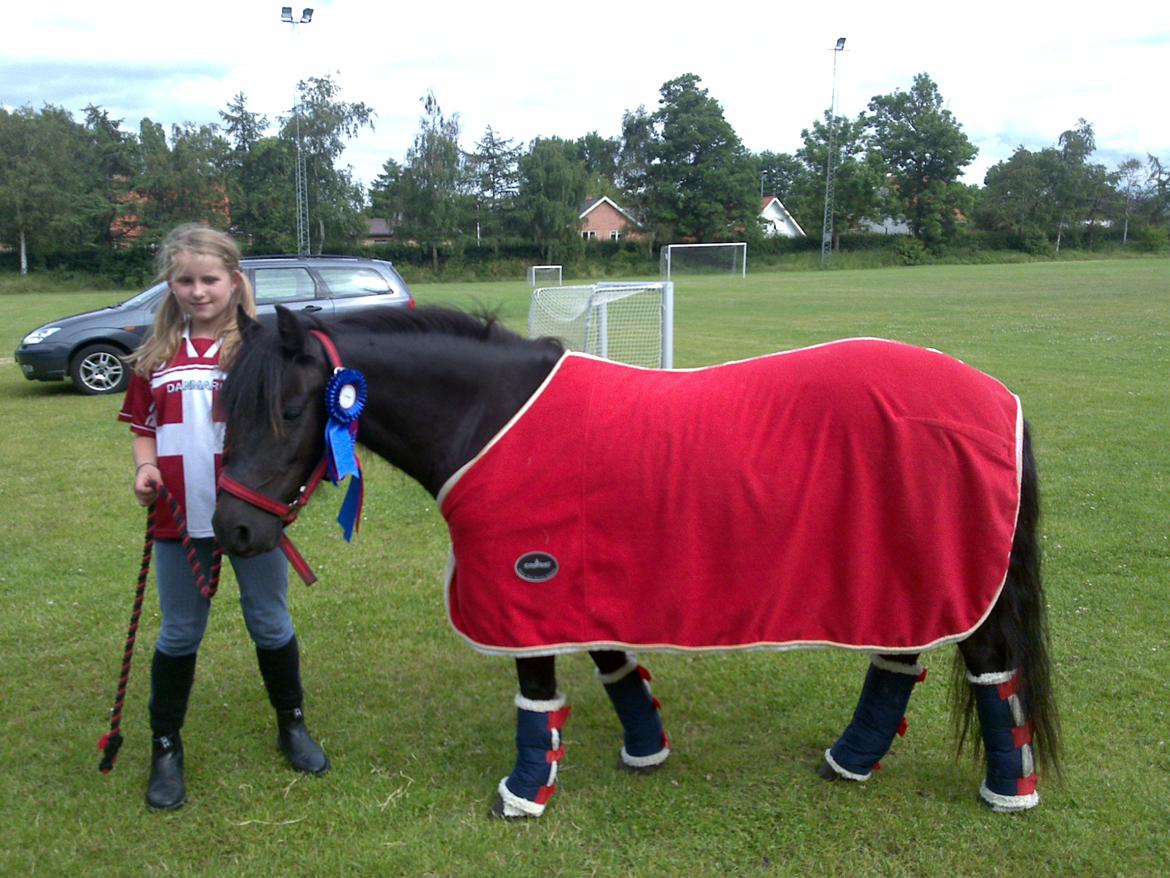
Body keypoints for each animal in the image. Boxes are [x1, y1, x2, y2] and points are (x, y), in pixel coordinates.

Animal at [212, 306, 1062, 824]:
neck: (489, 417)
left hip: (952, 576)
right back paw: (850, 760)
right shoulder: (575, 582)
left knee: (991, 667)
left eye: (291, 410)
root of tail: (999, 396)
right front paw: (646, 749)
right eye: (225, 409)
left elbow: (538, 693)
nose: (232, 529)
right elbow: (614, 663)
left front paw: (524, 795)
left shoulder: (528, 586)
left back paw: (1007, 790)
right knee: (899, 658)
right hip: (902, 571)